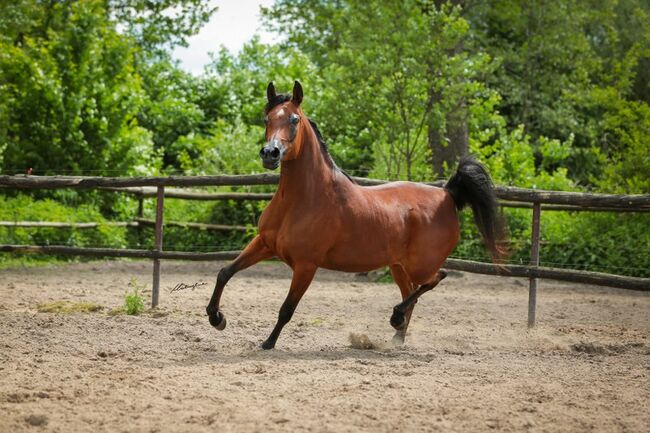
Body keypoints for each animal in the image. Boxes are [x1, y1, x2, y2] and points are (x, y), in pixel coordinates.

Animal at [205, 81, 504, 350]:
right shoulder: (265, 244)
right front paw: (217, 318)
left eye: (294, 119)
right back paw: (396, 338)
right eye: (266, 118)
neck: (302, 200)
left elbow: (287, 308)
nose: (270, 153)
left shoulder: (306, 265)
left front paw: (268, 343)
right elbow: (224, 272)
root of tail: (447, 194)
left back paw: (395, 319)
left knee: (435, 279)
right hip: (398, 266)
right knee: (412, 293)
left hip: (420, 265)